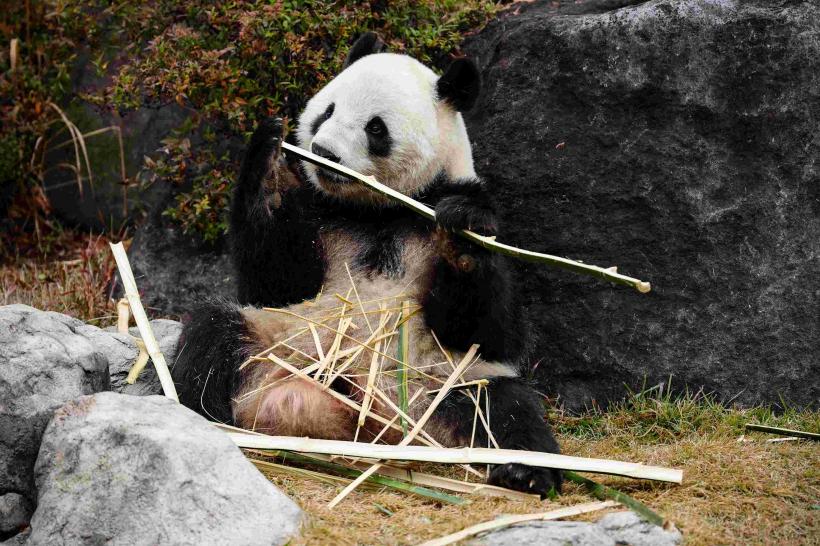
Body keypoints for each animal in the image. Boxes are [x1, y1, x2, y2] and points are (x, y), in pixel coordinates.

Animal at [172, 33, 562, 497]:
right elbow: (277, 282)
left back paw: (524, 473)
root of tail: (374, 429)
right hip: (276, 343)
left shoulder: (447, 206)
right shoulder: (320, 214)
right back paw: (209, 423)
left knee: (505, 408)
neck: (376, 209)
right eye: (327, 111)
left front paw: (462, 231)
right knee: (211, 338)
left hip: (443, 383)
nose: (323, 152)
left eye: (376, 128)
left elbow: (491, 331)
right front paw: (270, 156)